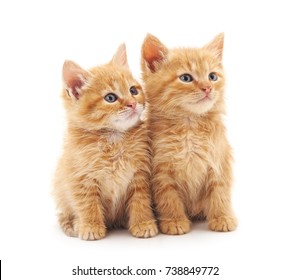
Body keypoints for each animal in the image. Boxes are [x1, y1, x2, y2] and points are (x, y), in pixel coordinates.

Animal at [54, 44, 159, 241]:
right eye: (110, 98)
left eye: (133, 90)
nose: (133, 104)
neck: (114, 139)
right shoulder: (81, 177)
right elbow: (88, 204)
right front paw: (91, 227)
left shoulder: (139, 174)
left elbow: (140, 201)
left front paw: (143, 223)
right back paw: (76, 224)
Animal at [141, 32, 238, 234]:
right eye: (186, 78)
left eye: (212, 76)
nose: (207, 88)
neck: (189, 126)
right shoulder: (161, 170)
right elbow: (168, 197)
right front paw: (174, 220)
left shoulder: (219, 160)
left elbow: (220, 191)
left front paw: (222, 217)